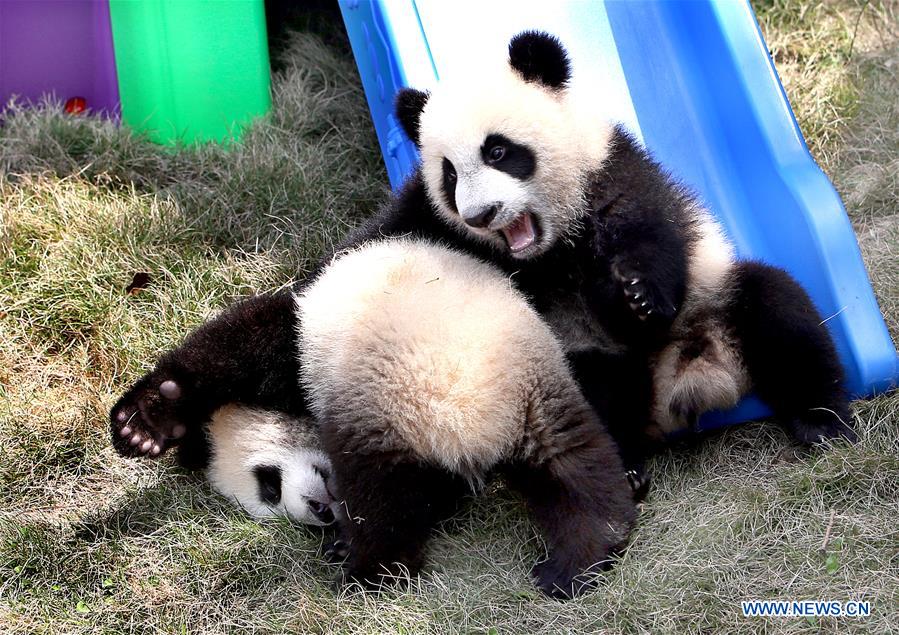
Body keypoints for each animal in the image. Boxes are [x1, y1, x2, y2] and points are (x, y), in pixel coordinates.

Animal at [297, 238, 635, 598]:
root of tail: (467, 404)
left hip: (378, 416)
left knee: (380, 504)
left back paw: (369, 575)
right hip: (540, 397)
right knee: (577, 467)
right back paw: (579, 561)